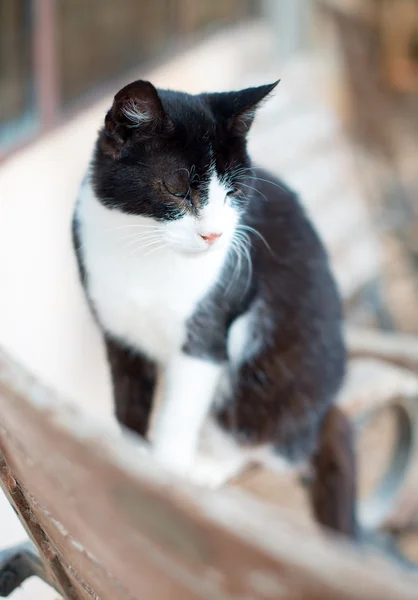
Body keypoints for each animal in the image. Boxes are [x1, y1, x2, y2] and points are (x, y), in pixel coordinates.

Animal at [72, 78, 356, 536]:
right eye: (177, 187)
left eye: (234, 193)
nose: (214, 235)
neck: (144, 250)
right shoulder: (117, 330)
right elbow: (129, 398)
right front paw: (129, 458)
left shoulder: (206, 336)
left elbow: (181, 413)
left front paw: (165, 480)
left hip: (277, 365)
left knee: (261, 437)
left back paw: (209, 465)